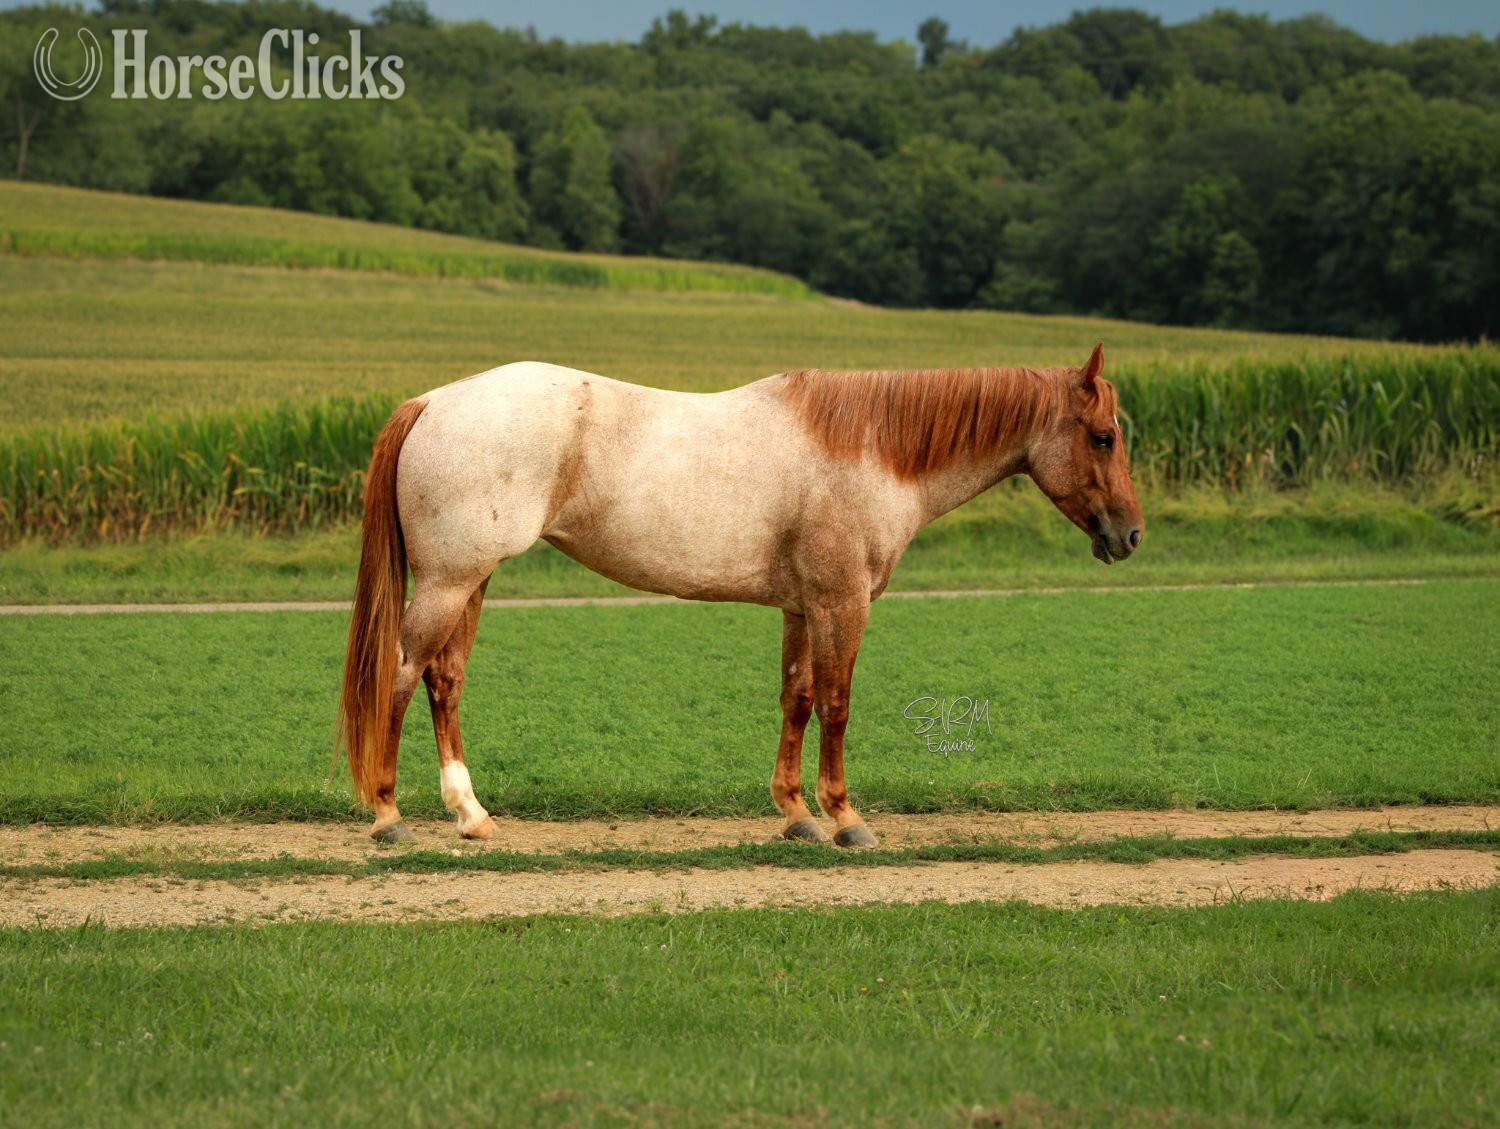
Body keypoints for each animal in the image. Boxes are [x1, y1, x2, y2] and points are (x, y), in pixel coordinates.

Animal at [337, 343, 1143, 847]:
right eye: (1103, 435)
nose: (1130, 535)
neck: (869, 448)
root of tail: (433, 401)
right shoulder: (842, 603)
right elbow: (838, 704)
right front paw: (845, 817)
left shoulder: (800, 607)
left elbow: (797, 699)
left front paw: (796, 815)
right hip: (449, 583)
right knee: (401, 675)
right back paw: (388, 814)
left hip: (471, 581)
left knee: (444, 681)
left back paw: (471, 815)